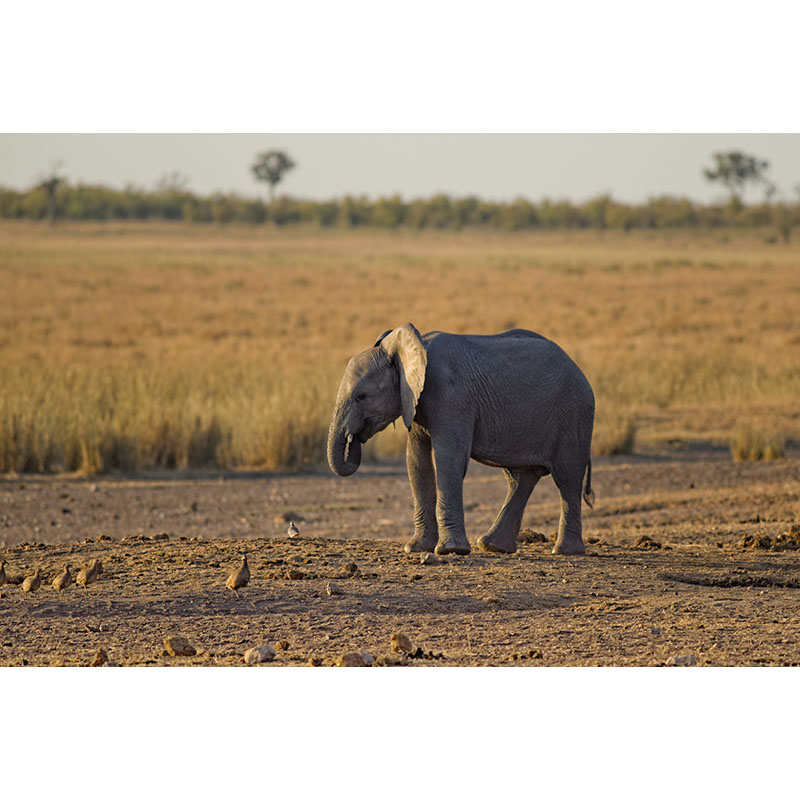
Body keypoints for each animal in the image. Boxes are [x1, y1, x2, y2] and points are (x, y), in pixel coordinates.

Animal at [324, 324, 592, 556]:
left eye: (361, 396)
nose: (353, 438)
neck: (406, 348)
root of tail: (580, 371)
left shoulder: (450, 395)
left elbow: (448, 461)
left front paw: (450, 550)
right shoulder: (415, 401)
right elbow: (416, 462)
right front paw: (416, 548)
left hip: (573, 415)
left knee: (567, 477)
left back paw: (564, 551)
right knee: (521, 478)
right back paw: (492, 546)